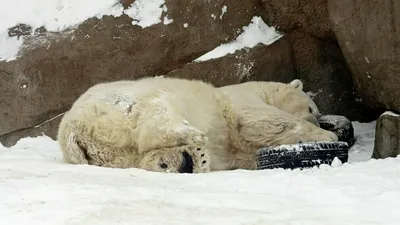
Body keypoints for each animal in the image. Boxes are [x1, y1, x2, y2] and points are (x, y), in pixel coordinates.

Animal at [57, 76, 338, 173]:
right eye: (311, 108)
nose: (319, 118)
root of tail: (70, 128)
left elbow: (249, 152)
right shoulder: (242, 99)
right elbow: (257, 120)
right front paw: (328, 136)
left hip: (107, 152)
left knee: (140, 156)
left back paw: (179, 161)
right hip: (123, 103)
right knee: (160, 116)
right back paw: (196, 145)